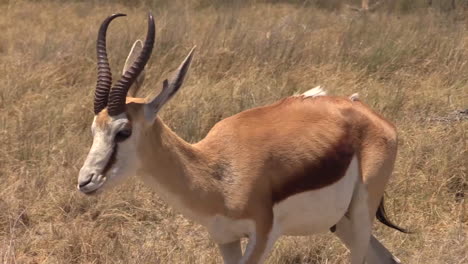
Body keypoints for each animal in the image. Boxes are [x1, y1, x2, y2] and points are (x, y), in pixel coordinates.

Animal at [77, 12, 406, 264]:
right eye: (93, 129)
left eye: (124, 131)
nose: (86, 181)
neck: (217, 172)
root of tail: (367, 112)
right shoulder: (225, 238)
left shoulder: (262, 236)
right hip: (342, 222)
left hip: (361, 213)